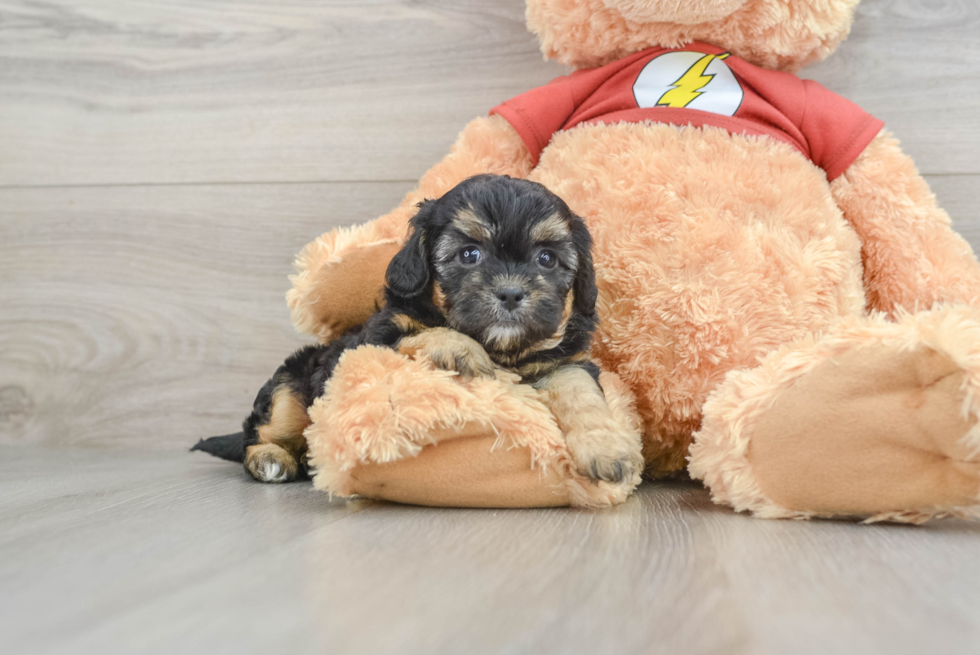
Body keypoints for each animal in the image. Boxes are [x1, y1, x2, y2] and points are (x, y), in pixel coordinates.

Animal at [195, 174, 648, 486]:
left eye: (547, 259)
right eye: (469, 254)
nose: (511, 293)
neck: (502, 348)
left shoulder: (566, 361)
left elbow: (581, 391)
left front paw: (608, 448)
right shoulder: (376, 336)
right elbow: (421, 332)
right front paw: (462, 350)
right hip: (289, 389)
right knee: (261, 431)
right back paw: (269, 460)